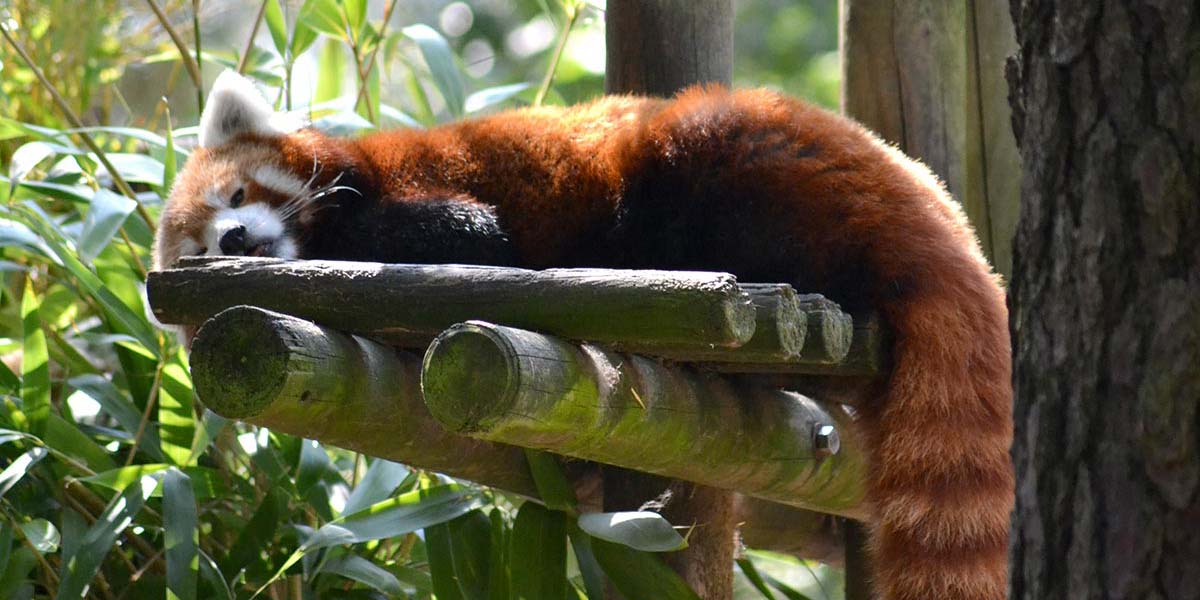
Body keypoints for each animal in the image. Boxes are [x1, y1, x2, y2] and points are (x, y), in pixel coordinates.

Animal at [152, 71, 1012, 600]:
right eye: (196, 248)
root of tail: (923, 198)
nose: (236, 239)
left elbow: (467, 233)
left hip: (730, 154)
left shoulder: (421, 184)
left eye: (234, 195)